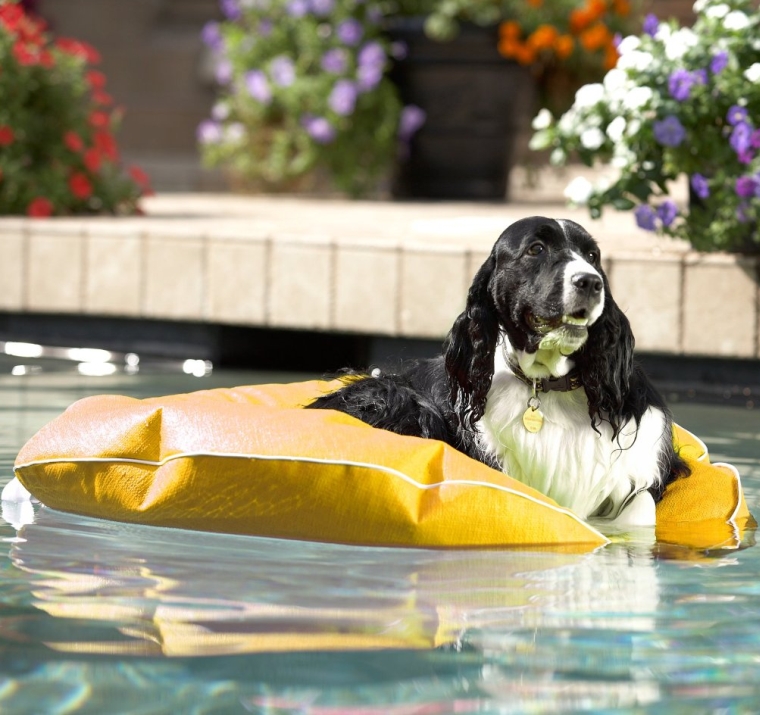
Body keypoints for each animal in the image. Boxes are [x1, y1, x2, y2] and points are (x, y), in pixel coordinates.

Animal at [308, 215, 688, 524]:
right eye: (536, 249)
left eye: (593, 255)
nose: (591, 282)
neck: (547, 384)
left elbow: (640, 508)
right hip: (397, 398)